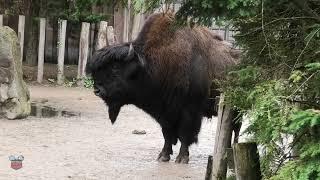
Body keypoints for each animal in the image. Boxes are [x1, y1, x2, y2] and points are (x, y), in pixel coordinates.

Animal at [86, 12, 239, 163]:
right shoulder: (164, 112)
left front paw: (182, 158)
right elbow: (167, 134)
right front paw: (163, 156)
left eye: (115, 68)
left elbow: (185, 134)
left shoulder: (190, 111)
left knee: (235, 129)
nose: (97, 90)